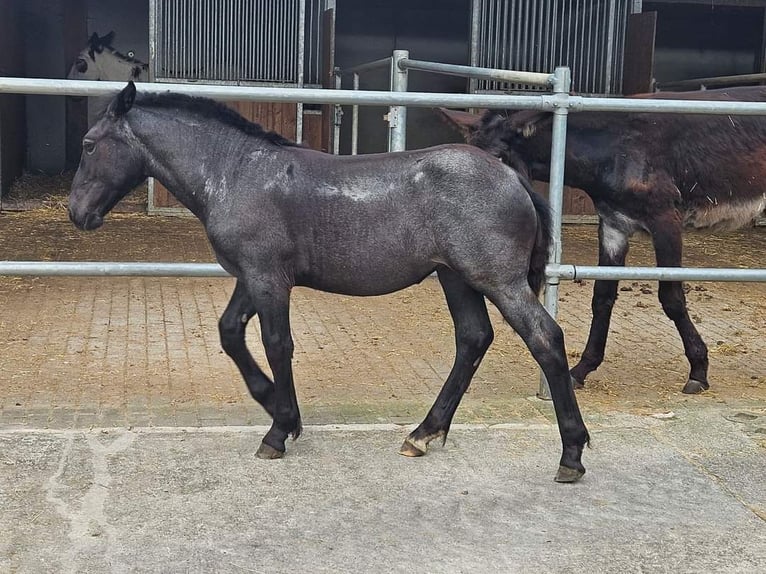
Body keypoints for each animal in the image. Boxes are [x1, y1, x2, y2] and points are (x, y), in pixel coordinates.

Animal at [67, 83, 592, 484]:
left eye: (89, 144)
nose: (78, 213)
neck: (237, 172)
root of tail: (510, 175)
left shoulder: (268, 279)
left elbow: (277, 344)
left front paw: (279, 431)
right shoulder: (252, 277)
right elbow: (230, 332)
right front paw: (276, 407)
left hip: (497, 280)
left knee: (544, 338)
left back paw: (571, 454)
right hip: (455, 277)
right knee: (473, 338)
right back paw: (423, 434)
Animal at [438, 86, 766, 396]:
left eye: (498, 159)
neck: (615, 148)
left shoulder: (666, 221)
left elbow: (671, 297)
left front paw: (698, 370)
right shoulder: (613, 225)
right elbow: (602, 297)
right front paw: (582, 368)